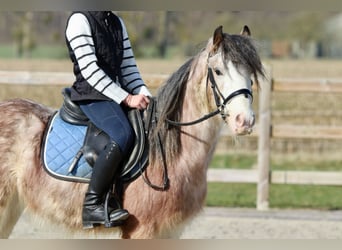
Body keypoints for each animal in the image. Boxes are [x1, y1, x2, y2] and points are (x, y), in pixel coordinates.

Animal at [0, 25, 264, 238]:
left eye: (250, 75)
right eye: (218, 71)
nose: (244, 121)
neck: (172, 153)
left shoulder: (171, 232)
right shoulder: (142, 231)